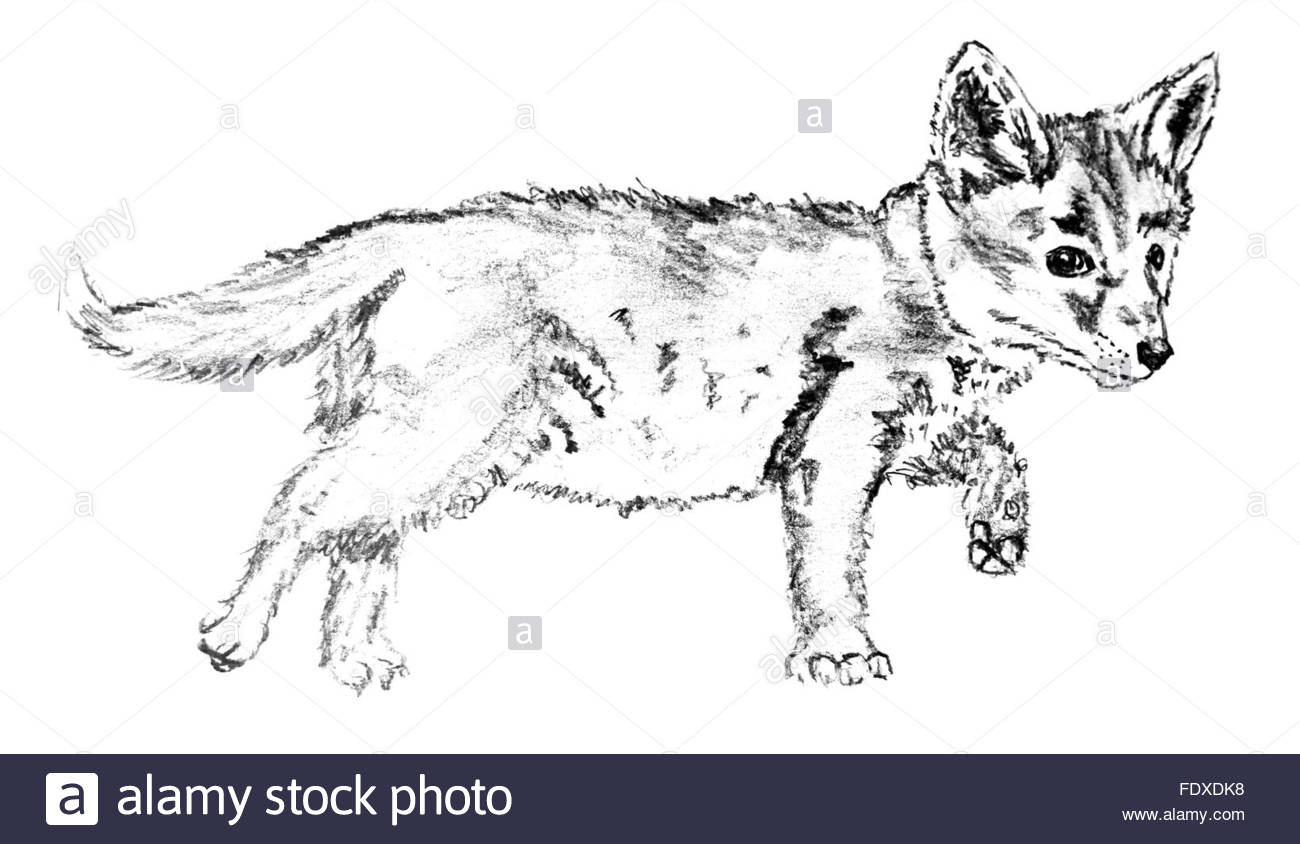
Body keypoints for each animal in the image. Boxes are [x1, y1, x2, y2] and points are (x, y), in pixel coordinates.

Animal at [68, 42, 1218, 691]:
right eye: (1068, 259)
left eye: (1161, 254)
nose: (1158, 351)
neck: (929, 286)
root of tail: (397, 234)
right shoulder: (834, 452)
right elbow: (833, 566)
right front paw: (838, 652)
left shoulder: (903, 434)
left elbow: (1002, 449)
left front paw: (998, 532)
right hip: (437, 438)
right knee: (302, 500)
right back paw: (233, 631)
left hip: (438, 454)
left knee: (359, 536)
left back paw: (356, 663)